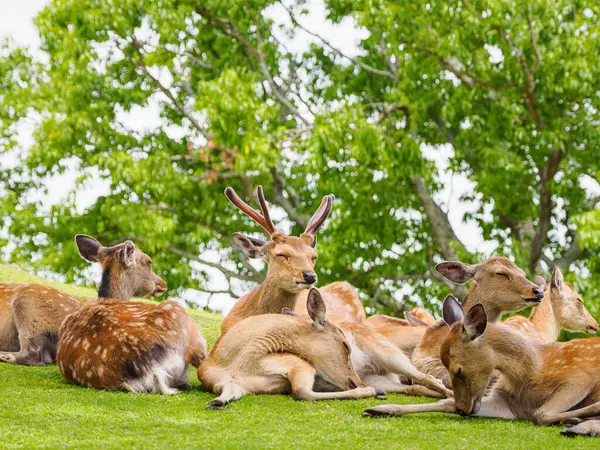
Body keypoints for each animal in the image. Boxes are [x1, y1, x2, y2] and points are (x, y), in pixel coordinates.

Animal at [364, 296, 600, 440]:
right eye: (443, 366)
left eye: (458, 370)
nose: (462, 409)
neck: (528, 374)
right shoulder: (507, 404)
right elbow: (445, 402)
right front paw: (380, 409)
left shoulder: (579, 376)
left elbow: (539, 414)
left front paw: (579, 416)